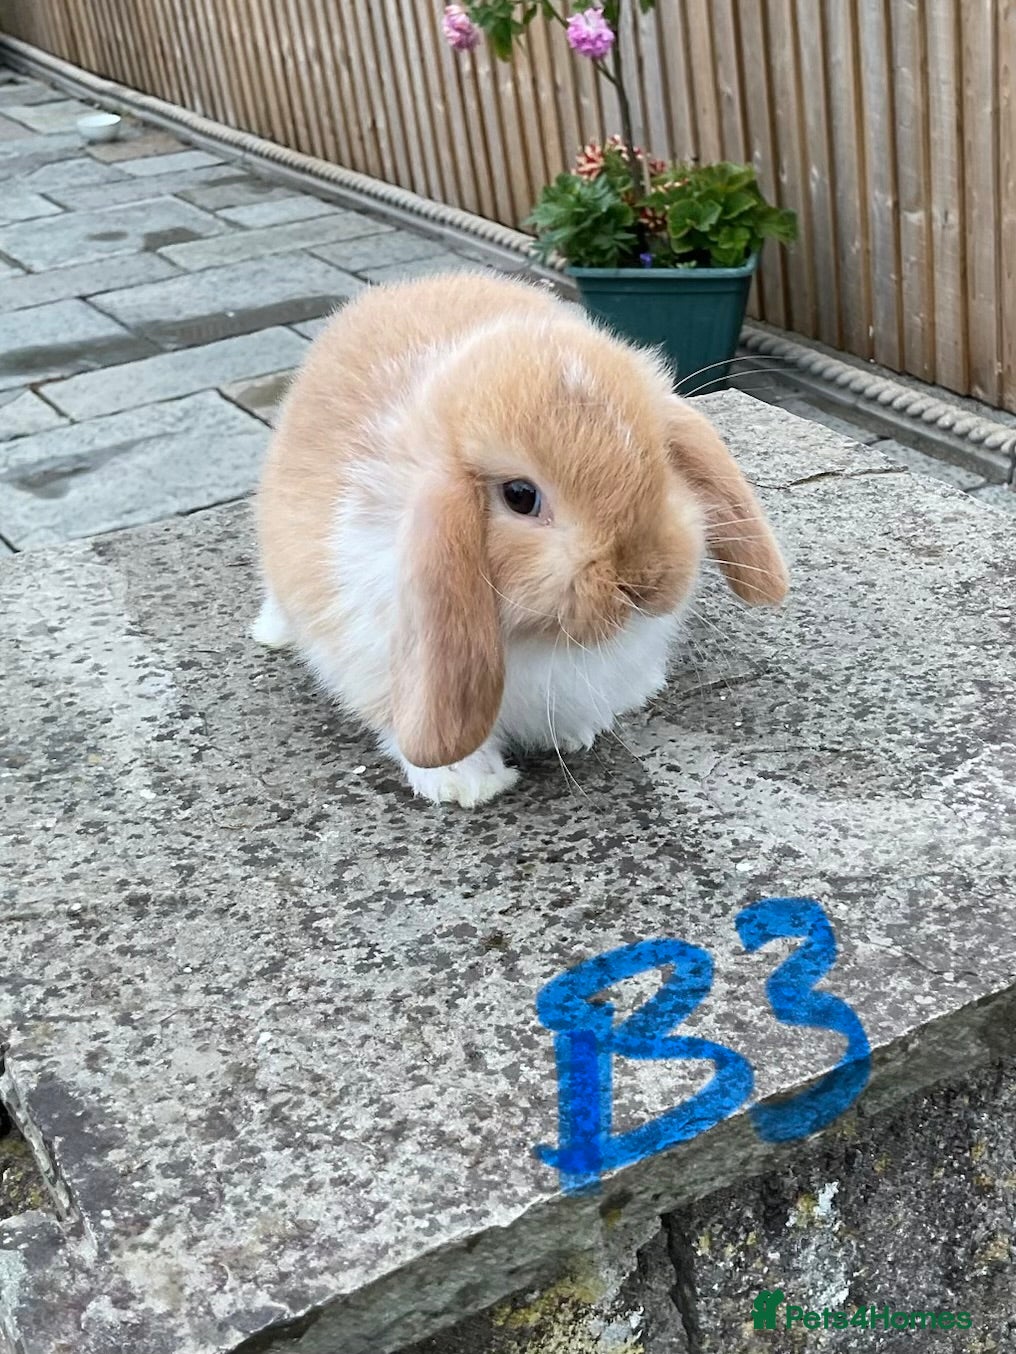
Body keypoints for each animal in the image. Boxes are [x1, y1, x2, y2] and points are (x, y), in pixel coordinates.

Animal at [252, 271, 788, 807]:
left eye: (662, 461)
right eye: (520, 496)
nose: (643, 581)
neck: (539, 638)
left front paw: (578, 733)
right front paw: (467, 784)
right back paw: (272, 632)